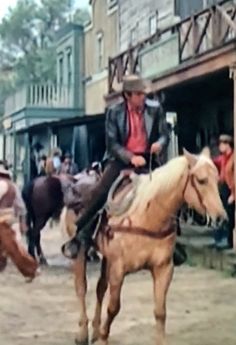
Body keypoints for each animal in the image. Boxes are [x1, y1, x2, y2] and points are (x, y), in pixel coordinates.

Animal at [61, 148, 227, 344]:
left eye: (217, 179)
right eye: (201, 180)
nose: (221, 218)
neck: (148, 216)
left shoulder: (163, 268)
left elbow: (160, 312)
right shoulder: (118, 269)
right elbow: (113, 307)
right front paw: (103, 337)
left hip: (107, 258)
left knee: (100, 288)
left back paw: (94, 331)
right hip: (80, 252)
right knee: (81, 287)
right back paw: (82, 333)